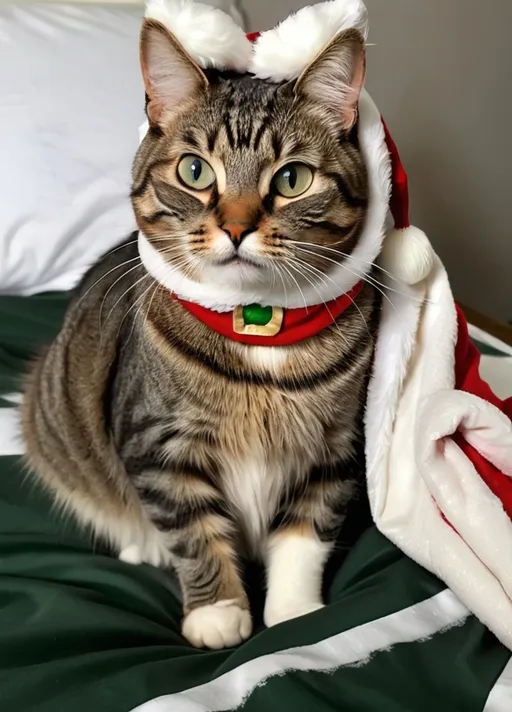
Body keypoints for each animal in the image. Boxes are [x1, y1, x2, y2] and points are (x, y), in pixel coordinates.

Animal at [21, 19, 380, 648]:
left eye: (292, 179)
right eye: (195, 171)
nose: (236, 228)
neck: (259, 325)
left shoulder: (335, 447)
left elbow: (307, 531)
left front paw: (296, 613)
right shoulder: (158, 447)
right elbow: (194, 533)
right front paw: (218, 611)